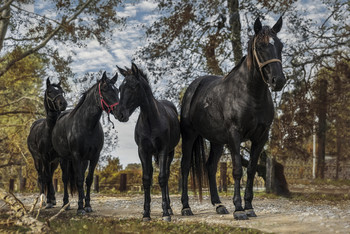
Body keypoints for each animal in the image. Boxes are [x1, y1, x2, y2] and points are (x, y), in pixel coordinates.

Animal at [27, 78, 67, 208]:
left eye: (62, 91)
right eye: (50, 91)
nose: (63, 104)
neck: (50, 132)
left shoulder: (59, 158)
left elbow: (55, 177)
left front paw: (53, 200)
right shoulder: (44, 157)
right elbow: (47, 177)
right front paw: (48, 201)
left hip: (53, 162)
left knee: (49, 175)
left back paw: (51, 198)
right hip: (38, 160)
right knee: (42, 176)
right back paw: (43, 199)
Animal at [50, 72, 119, 215]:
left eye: (117, 90)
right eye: (105, 89)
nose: (120, 111)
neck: (87, 125)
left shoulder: (93, 157)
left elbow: (88, 180)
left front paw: (87, 205)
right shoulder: (76, 156)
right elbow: (79, 180)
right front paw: (80, 208)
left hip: (83, 161)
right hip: (64, 158)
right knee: (65, 179)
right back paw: (65, 204)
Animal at [116, 63, 180, 222]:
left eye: (134, 86)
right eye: (119, 88)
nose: (119, 114)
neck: (151, 120)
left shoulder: (163, 150)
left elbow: (162, 178)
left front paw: (165, 213)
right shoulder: (143, 151)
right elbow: (146, 179)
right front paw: (146, 213)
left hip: (170, 153)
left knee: (166, 175)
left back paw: (169, 208)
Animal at [180, 17, 288, 220]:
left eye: (280, 45)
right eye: (260, 46)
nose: (278, 81)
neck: (249, 94)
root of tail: (193, 87)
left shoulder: (260, 137)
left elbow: (251, 170)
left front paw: (249, 207)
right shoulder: (234, 135)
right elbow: (237, 169)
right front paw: (238, 209)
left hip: (217, 141)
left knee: (210, 167)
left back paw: (219, 205)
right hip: (189, 136)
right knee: (185, 166)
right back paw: (185, 207)